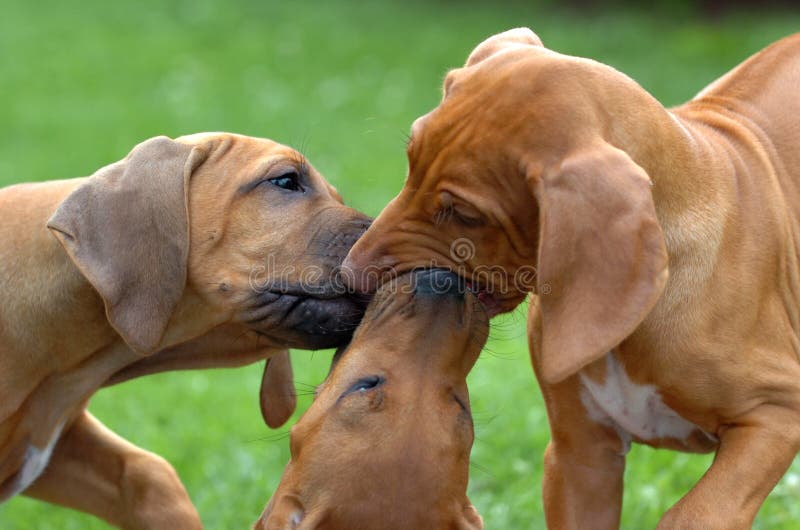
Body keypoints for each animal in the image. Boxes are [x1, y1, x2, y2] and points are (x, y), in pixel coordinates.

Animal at [346, 29, 800, 528]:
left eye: (466, 214)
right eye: (411, 164)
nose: (348, 277)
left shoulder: (777, 411)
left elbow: (694, 513)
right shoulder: (581, 458)